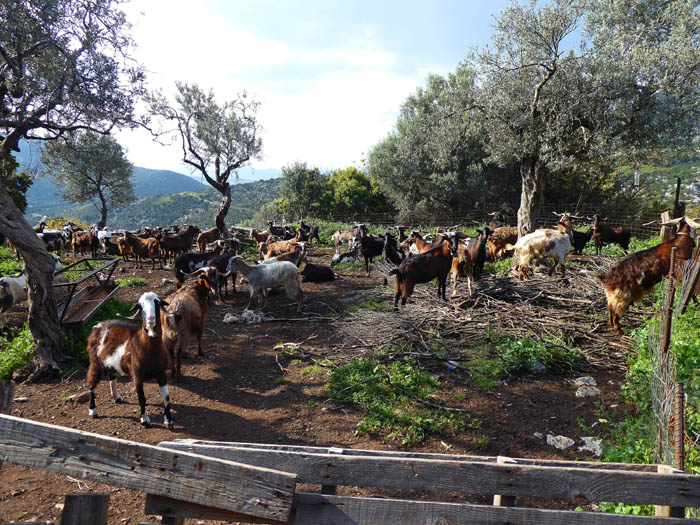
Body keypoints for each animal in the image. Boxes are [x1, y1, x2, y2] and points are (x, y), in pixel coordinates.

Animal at [86, 290, 176, 430]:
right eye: (140, 306)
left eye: (157, 302)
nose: (150, 320)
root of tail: (97, 326)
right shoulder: (137, 375)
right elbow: (142, 398)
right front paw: (145, 420)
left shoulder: (161, 373)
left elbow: (166, 397)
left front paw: (169, 421)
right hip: (95, 362)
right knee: (92, 383)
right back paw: (93, 411)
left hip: (111, 364)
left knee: (112, 377)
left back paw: (117, 397)